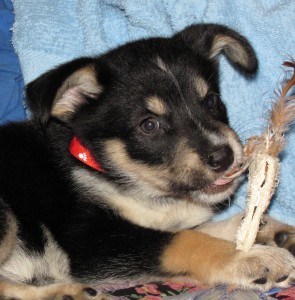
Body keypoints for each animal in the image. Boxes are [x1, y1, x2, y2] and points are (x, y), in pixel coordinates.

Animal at [0, 24, 294, 298]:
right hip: (7, 217)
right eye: (150, 125)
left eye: (211, 101)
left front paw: (271, 232)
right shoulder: (90, 240)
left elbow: (205, 227)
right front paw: (252, 258)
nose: (224, 157)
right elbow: (185, 240)